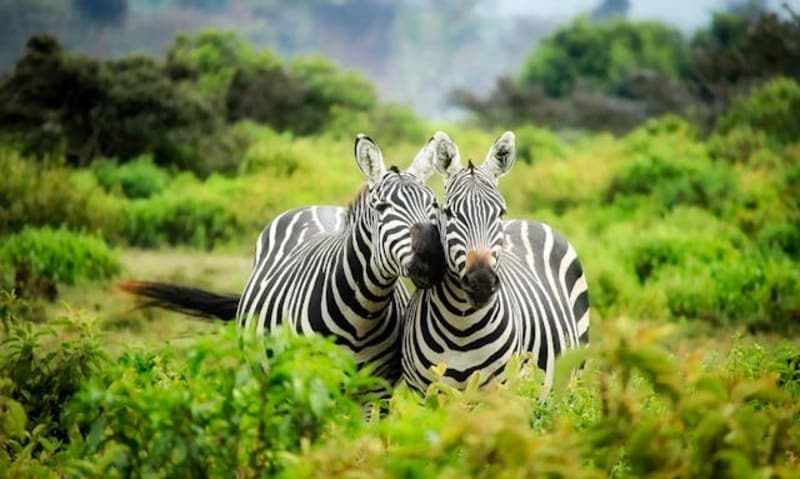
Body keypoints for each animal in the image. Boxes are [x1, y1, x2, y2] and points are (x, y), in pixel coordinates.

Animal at [120, 134, 446, 383]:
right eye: (381, 208)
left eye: (434, 205)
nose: (432, 260)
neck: (363, 313)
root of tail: (316, 206)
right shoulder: (308, 379)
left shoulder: (377, 390)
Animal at [401, 131, 590, 392]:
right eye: (448, 212)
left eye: (500, 212)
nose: (481, 282)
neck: (461, 328)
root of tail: (528, 221)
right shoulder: (422, 392)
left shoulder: (499, 392)